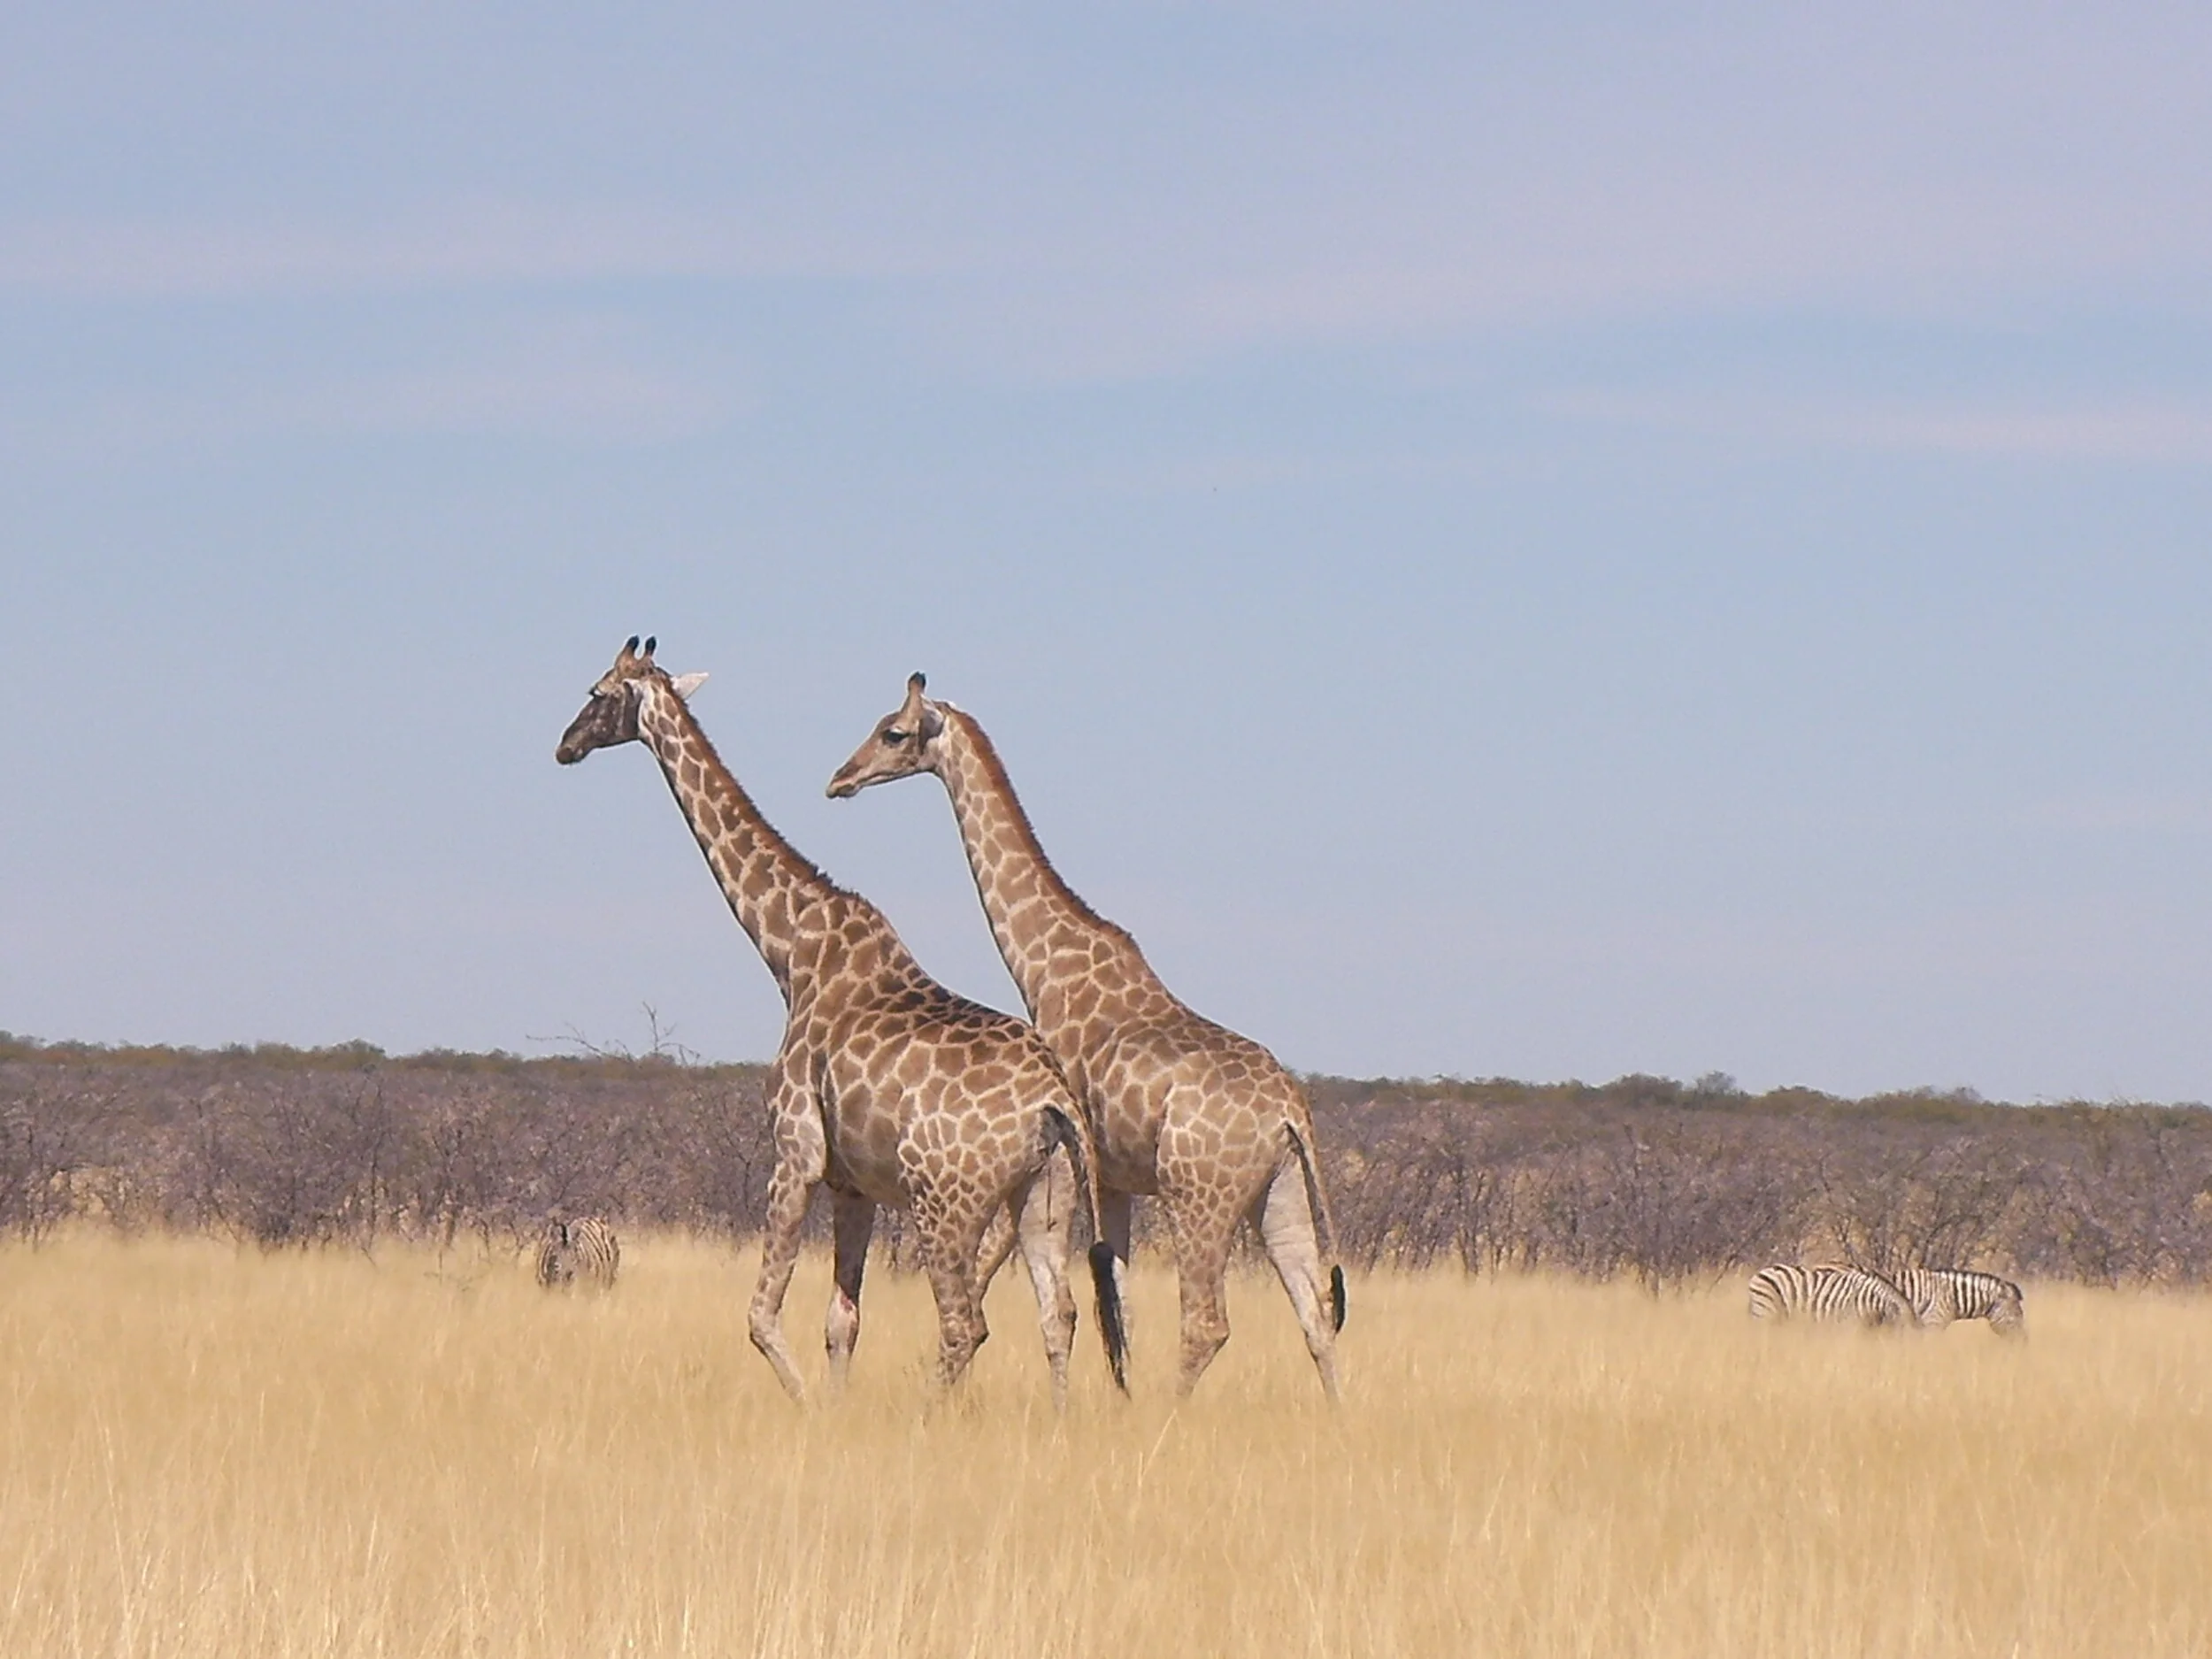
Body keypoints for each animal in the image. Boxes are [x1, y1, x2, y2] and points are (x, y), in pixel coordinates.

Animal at [555, 639, 1125, 1407]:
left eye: (597, 691)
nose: (564, 744)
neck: (790, 951)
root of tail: (1055, 1100)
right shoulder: (853, 1183)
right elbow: (841, 1320)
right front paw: (835, 1403)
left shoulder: (795, 1153)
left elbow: (761, 1314)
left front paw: (808, 1408)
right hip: (1043, 1197)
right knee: (1057, 1311)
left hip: (946, 1200)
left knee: (965, 1323)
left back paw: (927, 1415)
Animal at [828, 675, 1347, 1399]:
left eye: (892, 733)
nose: (839, 779)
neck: (1047, 969)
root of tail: (1291, 1112)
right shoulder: (1117, 1177)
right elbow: (1114, 1298)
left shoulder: (1078, 1160)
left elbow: (1045, 1277)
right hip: (1281, 1190)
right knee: (1316, 1315)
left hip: (1199, 1192)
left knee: (1208, 1322)